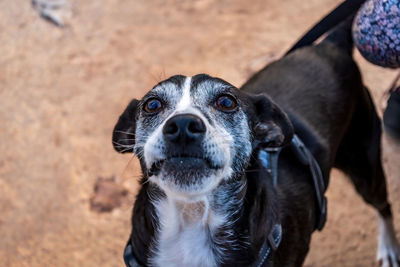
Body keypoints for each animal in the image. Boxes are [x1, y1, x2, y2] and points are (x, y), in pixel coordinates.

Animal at [111, 17, 400, 266]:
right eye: (152, 105)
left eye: (226, 101)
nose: (182, 126)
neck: (192, 219)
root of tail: (331, 44)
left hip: (365, 166)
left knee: (384, 206)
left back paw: (389, 249)